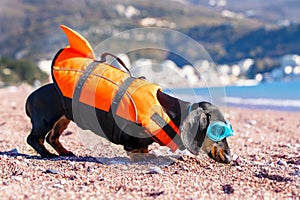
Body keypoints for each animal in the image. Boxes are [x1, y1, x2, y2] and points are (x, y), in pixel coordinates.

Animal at [25, 25, 233, 162]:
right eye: (217, 131)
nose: (231, 158)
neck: (167, 113)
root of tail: (30, 97)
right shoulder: (131, 146)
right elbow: (143, 154)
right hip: (46, 120)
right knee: (34, 139)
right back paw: (48, 155)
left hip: (64, 119)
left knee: (52, 138)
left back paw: (65, 152)